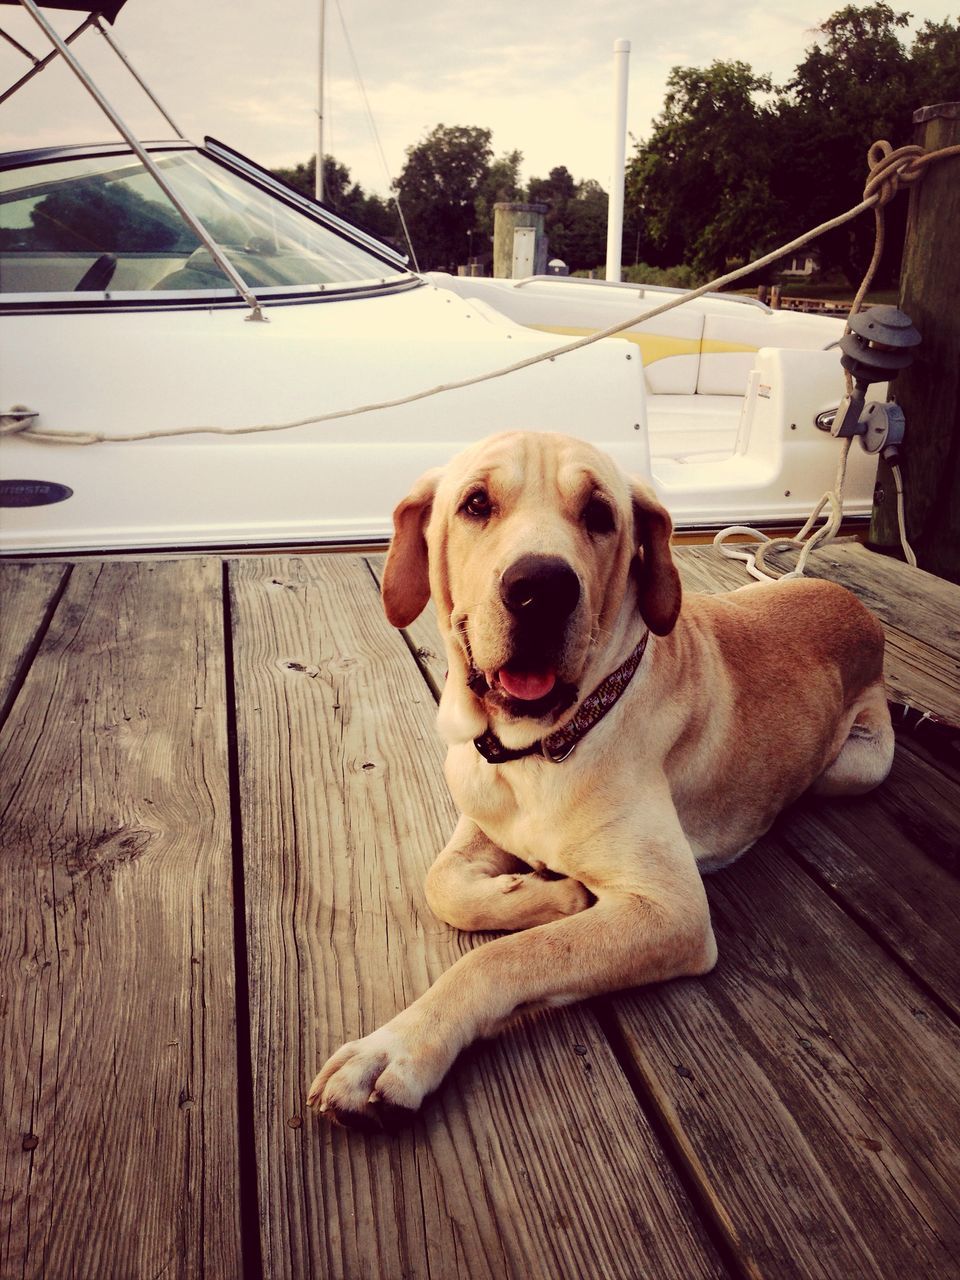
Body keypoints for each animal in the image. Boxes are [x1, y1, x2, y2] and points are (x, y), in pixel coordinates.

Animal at [308, 432, 896, 1131]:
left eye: (599, 514)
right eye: (476, 503)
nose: (540, 588)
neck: (541, 749)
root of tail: (857, 605)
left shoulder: (671, 911)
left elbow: (505, 956)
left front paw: (396, 1047)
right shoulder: (479, 817)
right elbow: (442, 884)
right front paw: (544, 892)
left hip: (856, 768)